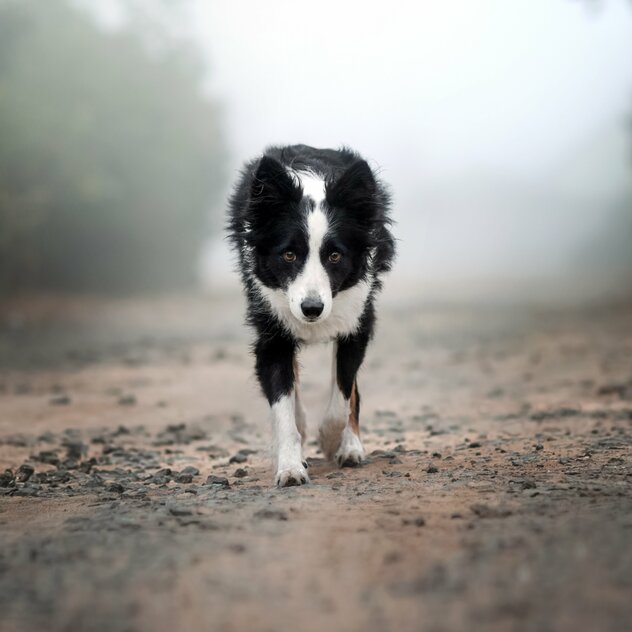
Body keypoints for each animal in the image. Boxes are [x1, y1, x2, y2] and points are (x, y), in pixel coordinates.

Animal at [227, 146, 396, 486]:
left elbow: (344, 395)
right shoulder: (271, 332)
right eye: (289, 255)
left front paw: (332, 441)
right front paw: (291, 466)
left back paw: (349, 445)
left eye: (335, 256)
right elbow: (283, 404)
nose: (312, 309)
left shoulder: (356, 323)